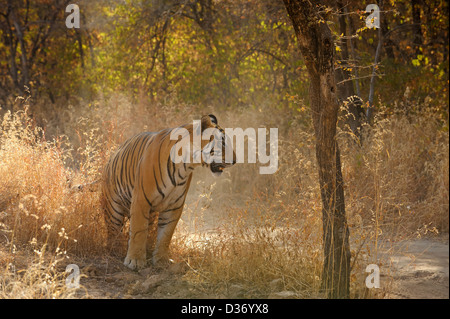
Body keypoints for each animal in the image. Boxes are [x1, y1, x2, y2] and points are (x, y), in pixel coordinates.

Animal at [101, 115, 236, 270]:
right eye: (223, 143)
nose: (235, 160)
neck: (185, 166)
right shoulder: (141, 200)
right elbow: (139, 231)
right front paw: (135, 261)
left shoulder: (174, 206)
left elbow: (166, 234)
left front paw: (161, 261)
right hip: (113, 209)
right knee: (113, 233)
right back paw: (116, 251)